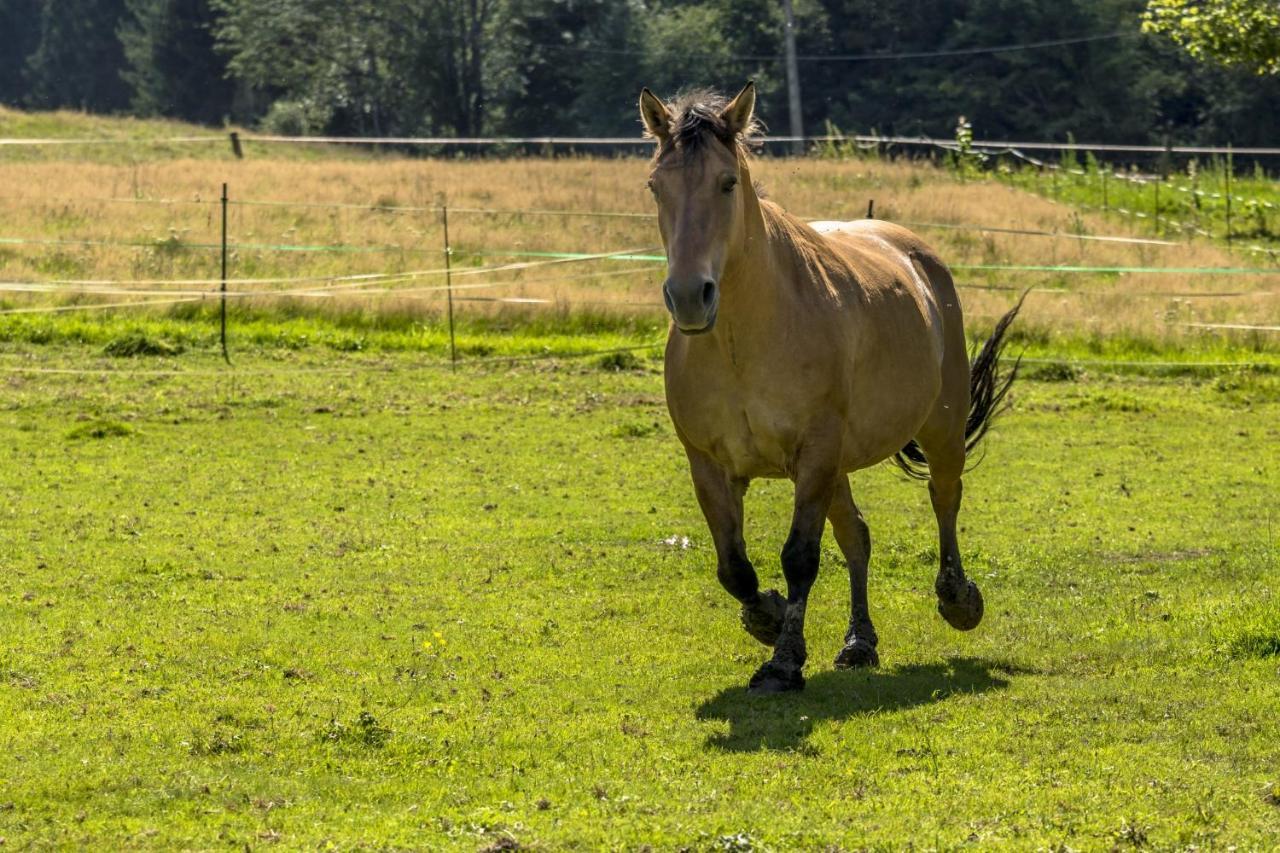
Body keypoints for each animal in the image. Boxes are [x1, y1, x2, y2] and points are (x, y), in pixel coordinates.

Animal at [637, 81, 1018, 691]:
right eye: (656, 185)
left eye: (727, 182)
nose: (690, 296)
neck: (744, 341)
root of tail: (917, 254)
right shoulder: (710, 465)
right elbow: (734, 567)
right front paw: (767, 617)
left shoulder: (814, 455)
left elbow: (799, 557)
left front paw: (784, 661)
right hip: (839, 464)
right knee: (856, 536)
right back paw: (859, 643)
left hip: (938, 430)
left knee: (945, 497)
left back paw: (958, 599)